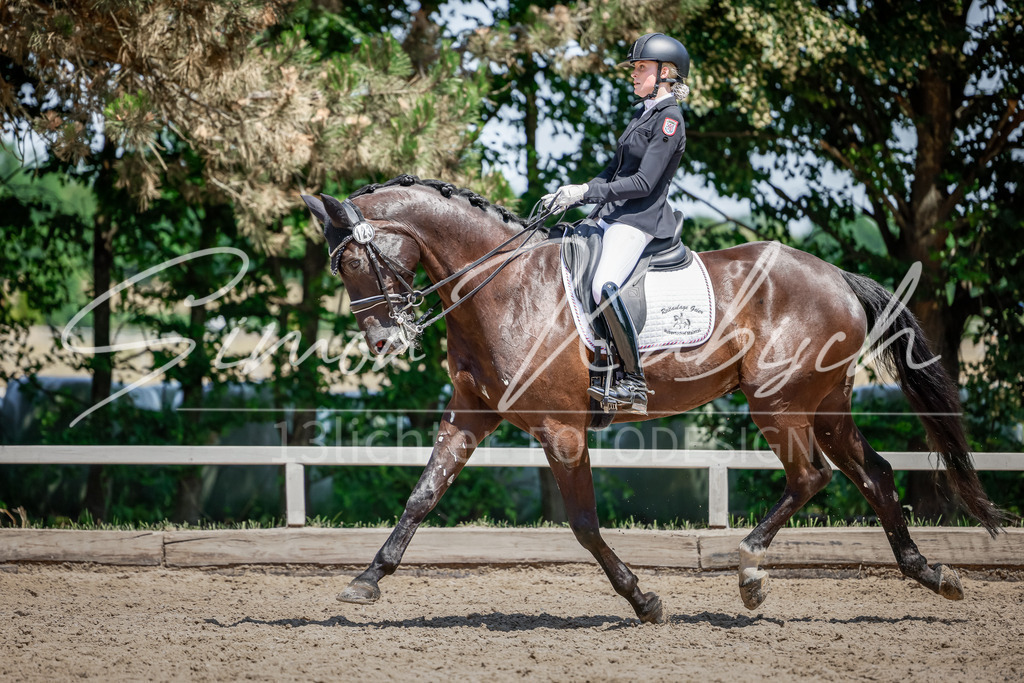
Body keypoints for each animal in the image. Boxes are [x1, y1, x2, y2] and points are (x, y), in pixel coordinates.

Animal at [301, 175, 1005, 623]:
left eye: (353, 264)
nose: (385, 340)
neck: (502, 286)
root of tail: (835, 275)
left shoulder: (561, 429)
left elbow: (584, 524)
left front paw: (644, 600)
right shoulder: (470, 415)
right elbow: (423, 494)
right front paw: (366, 581)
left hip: (777, 403)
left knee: (811, 477)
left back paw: (750, 572)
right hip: (825, 404)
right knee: (875, 474)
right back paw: (931, 574)